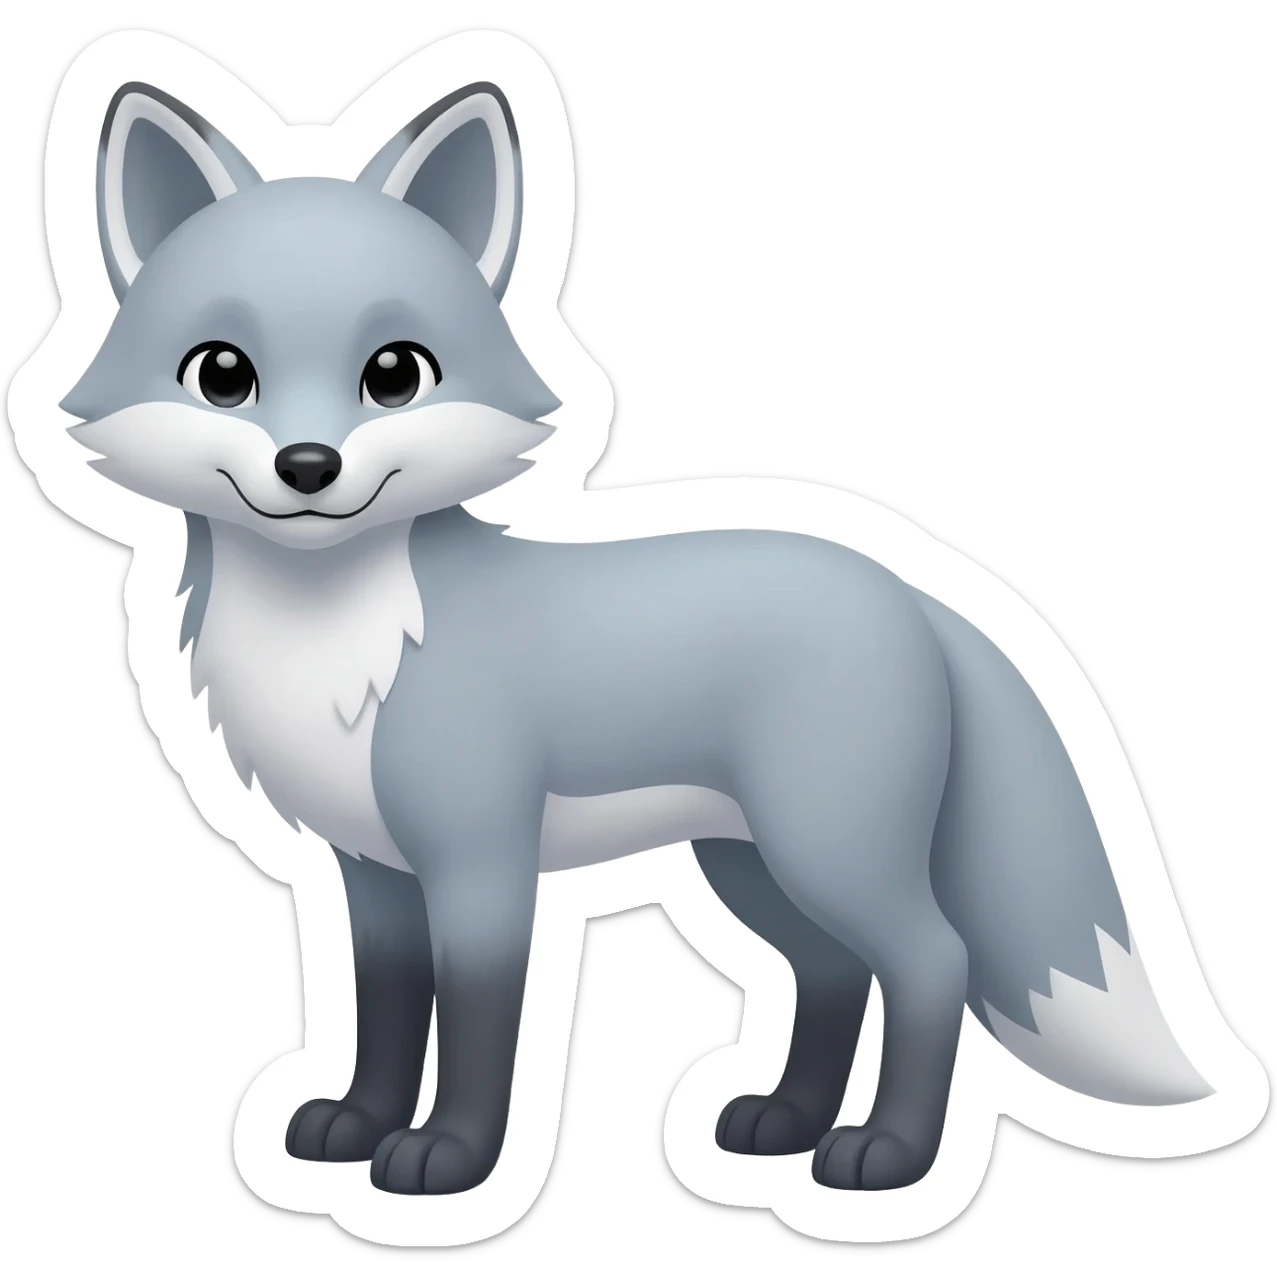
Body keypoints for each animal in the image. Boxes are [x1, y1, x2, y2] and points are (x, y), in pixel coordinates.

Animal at [21, 65, 1230, 1203]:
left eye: (394, 373)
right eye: (223, 372)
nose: (308, 466)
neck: (340, 647)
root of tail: (905, 582)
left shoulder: (480, 858)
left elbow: (476, 1021)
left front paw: (449, 1156)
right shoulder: (370, 874)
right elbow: (383, 1009)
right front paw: (356, 1127)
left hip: (826, 846)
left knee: (933, 962)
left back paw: (885, 1154)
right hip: (752, 865)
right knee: (833, 975)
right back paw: (782, 1122)